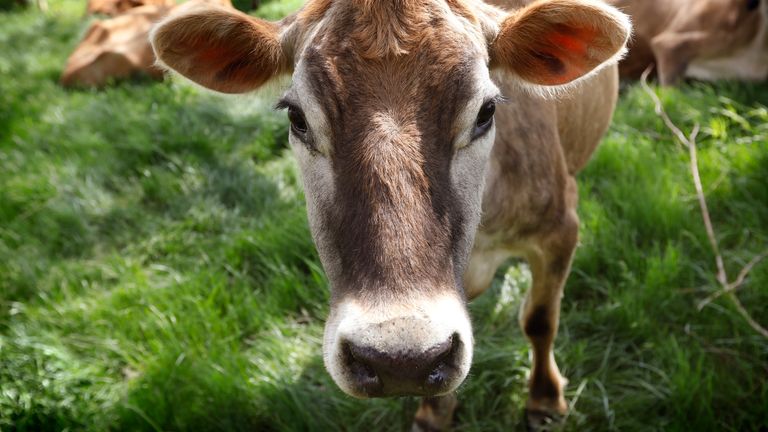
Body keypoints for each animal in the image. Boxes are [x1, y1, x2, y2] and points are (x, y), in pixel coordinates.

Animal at [150, 0, 632, 428]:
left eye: (487, 110)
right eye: (297, 117)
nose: (400, 360)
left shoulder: (561, 229)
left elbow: (540, 319)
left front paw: (545, 401)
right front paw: (434, 414)